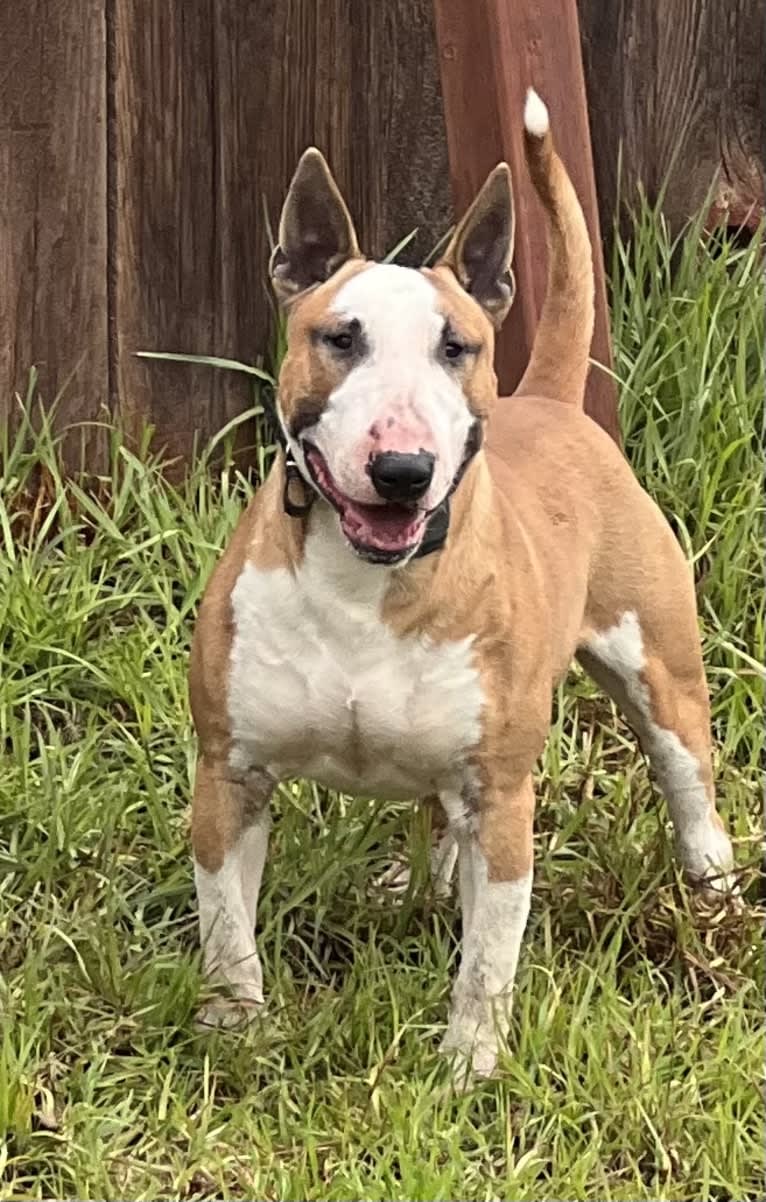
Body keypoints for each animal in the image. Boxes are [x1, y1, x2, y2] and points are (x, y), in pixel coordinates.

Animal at [186, 87, 735, 1081]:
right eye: (340, 338)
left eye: (458, 347)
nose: (402, 469)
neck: (368, 584)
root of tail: (547, 397)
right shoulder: (229, 774)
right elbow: (225, 927)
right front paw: (237, 1031)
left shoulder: (504, 798)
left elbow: (491, 954)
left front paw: (468, 1067)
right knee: (439, 818)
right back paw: (420, 880)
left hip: (661, 671)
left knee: (689, 788)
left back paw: (716, 899)